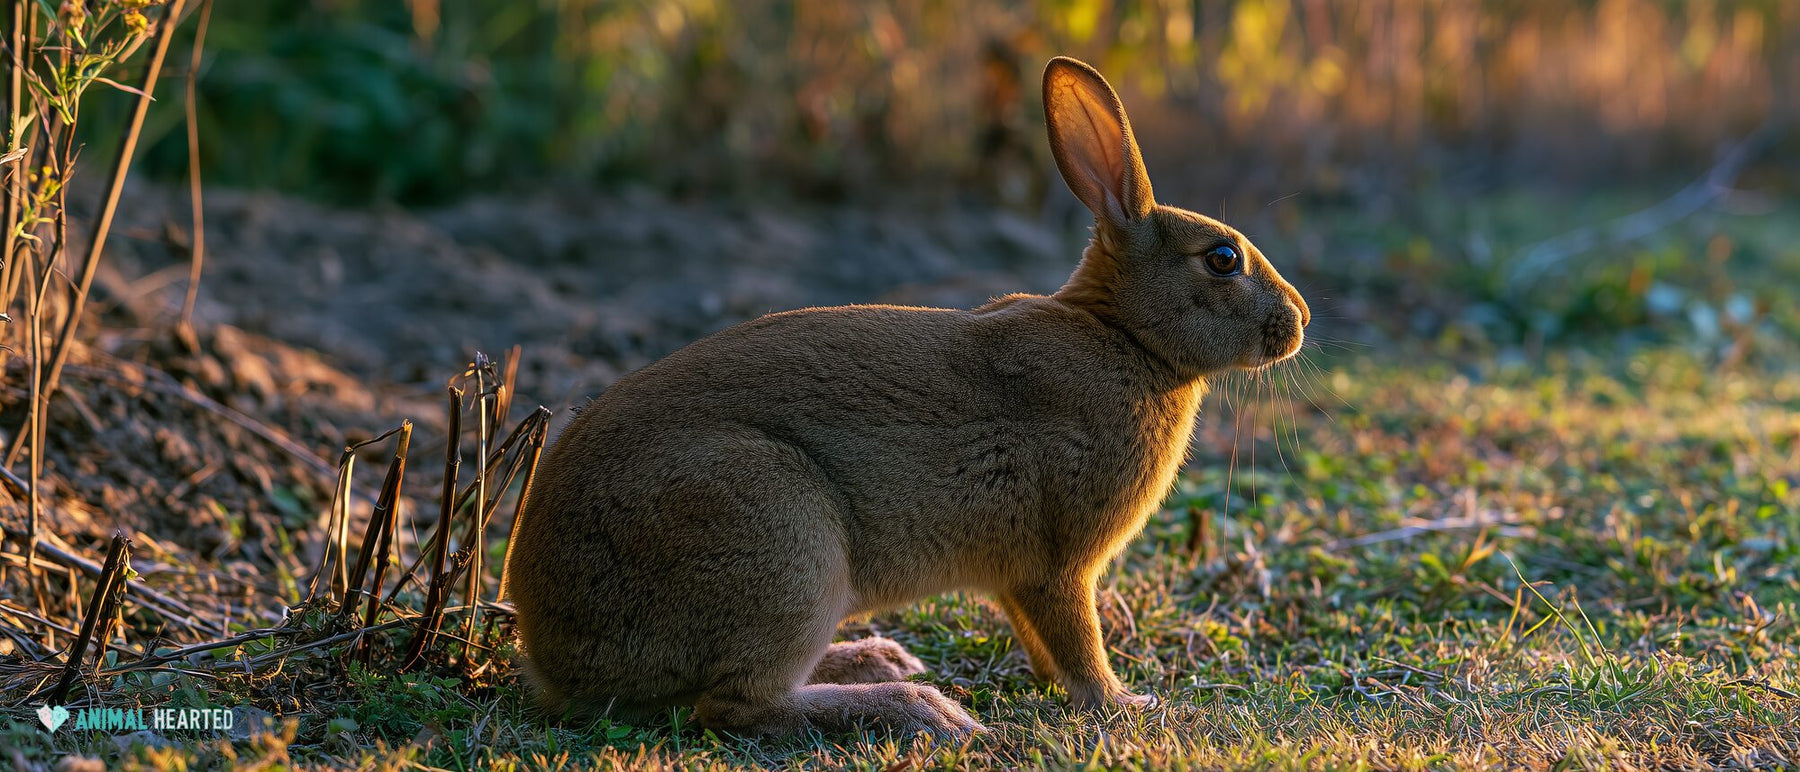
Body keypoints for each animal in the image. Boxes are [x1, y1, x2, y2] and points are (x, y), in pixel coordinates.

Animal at [506, 56, 1310, 738]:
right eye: (1223, 260)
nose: (1298, 321)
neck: (1126, 338)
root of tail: (553, 649)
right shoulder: (1060, 562)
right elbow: (1078, 644)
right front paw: (1125, 703)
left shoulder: (1021, 578)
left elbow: (1042, 643)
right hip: (783, 541)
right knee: (735, 706)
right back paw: (915, 706)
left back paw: (879, 660)